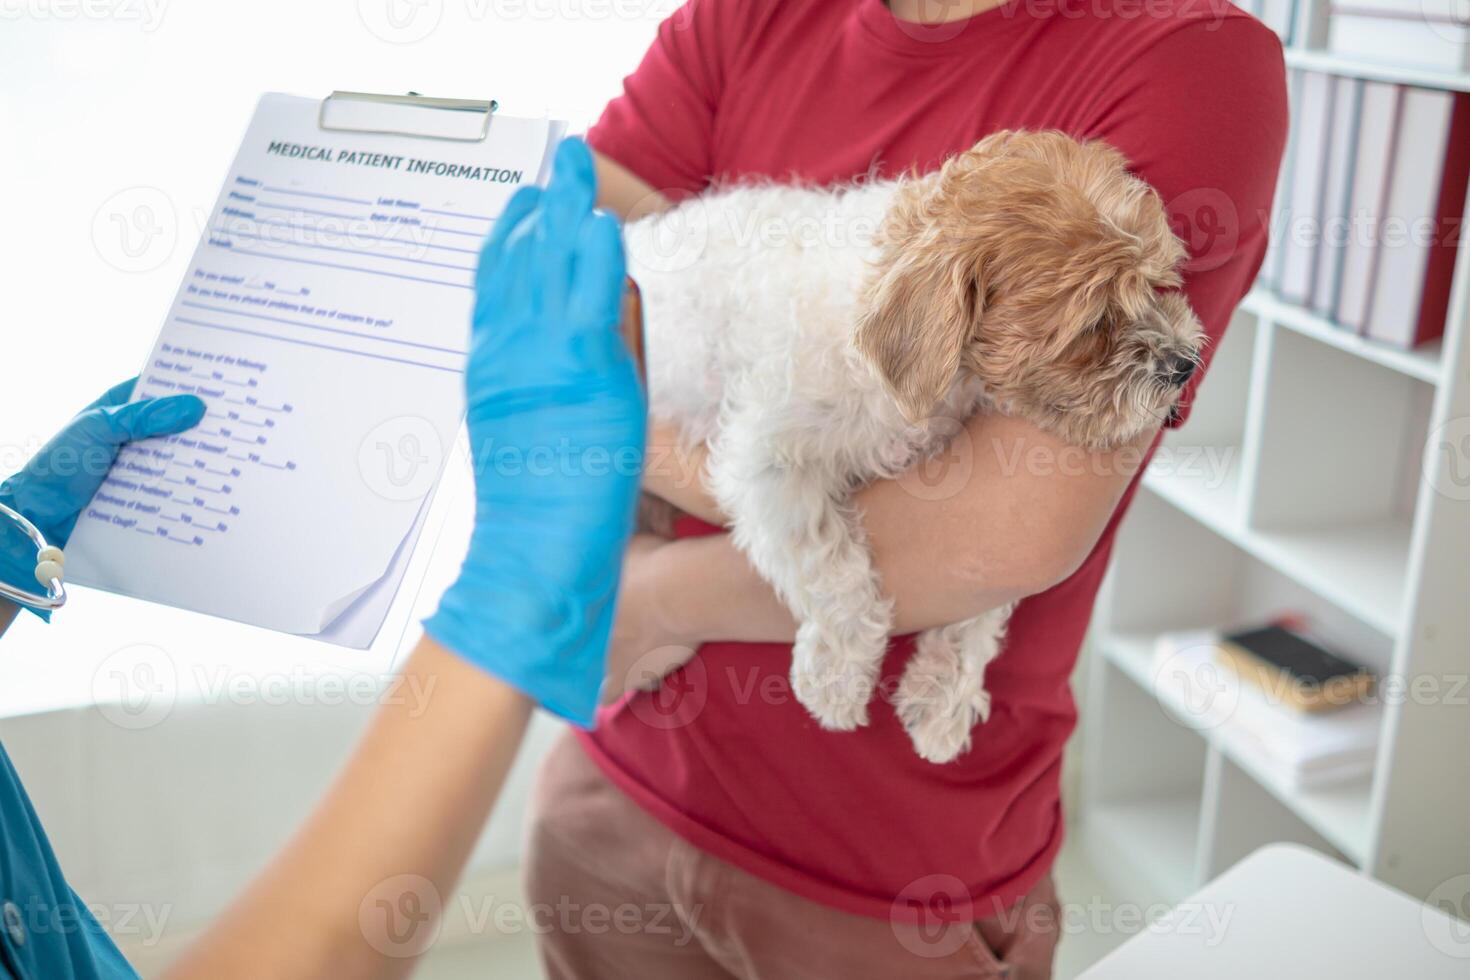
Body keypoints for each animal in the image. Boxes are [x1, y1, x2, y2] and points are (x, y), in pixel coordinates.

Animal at [626, 126, 1199, 764]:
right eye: (1095, 321)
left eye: (1155, 283)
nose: (1184, 364)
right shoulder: (768, 462)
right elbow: (834, 569)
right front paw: (838, 679)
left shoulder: (989, 526)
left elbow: (981, 602)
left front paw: (944, 696)